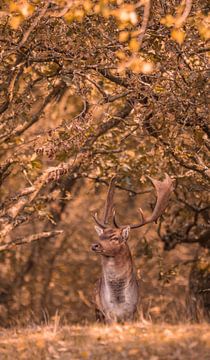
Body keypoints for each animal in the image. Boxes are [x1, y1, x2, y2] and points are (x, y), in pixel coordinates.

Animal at [91, 174, 173, 324]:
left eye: (115, 238)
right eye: (100, 236)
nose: (95, 245)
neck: (118, 302)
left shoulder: (131, 312)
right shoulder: (107, 313)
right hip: (97, 312)